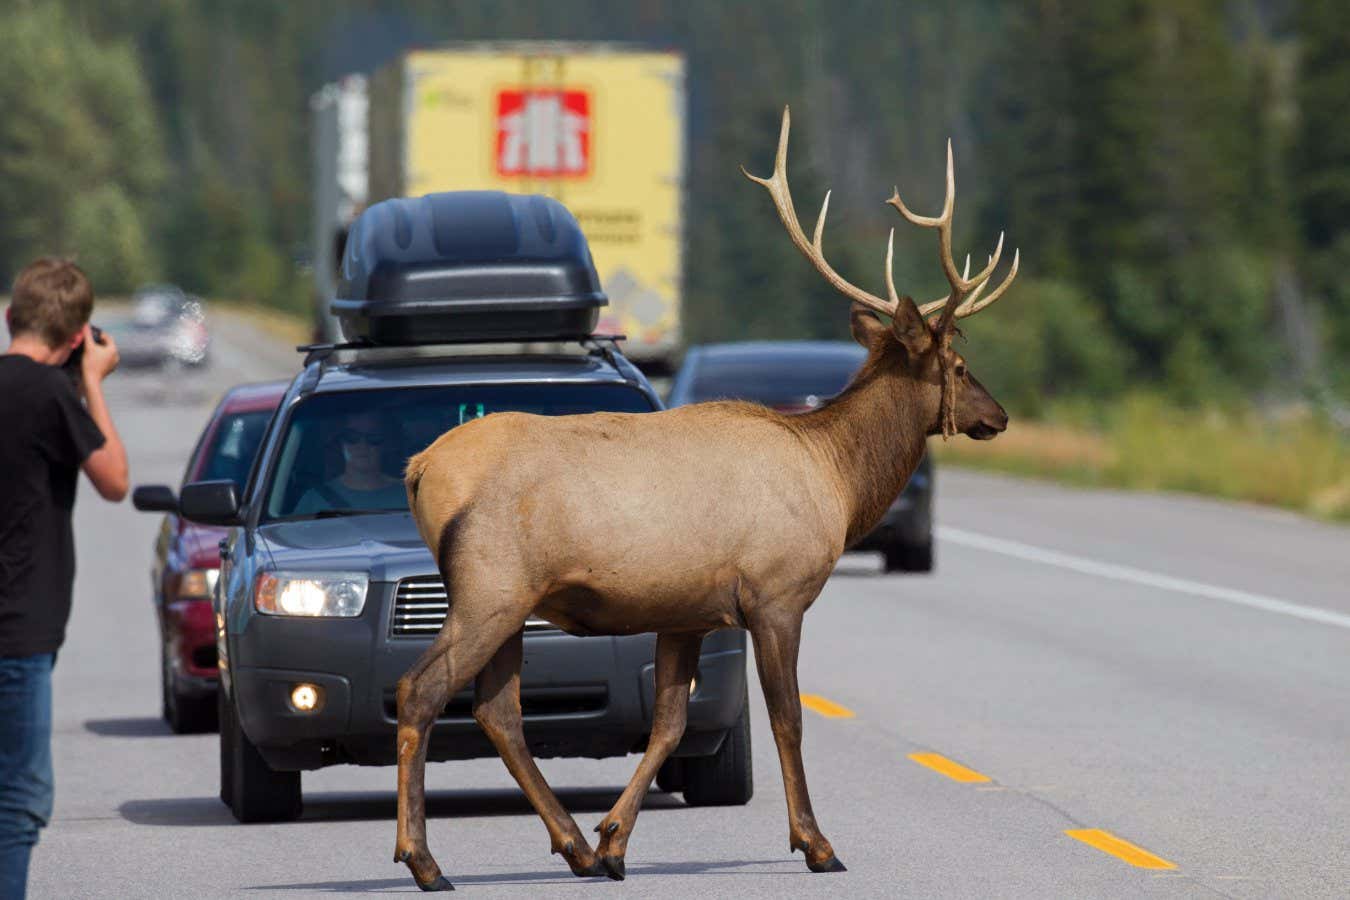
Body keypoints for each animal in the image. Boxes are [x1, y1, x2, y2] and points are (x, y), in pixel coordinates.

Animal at [393, 106, 1019, 891]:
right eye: (959, 365)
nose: (1000, 416)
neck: (838, 480)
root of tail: (420, 469)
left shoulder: (687, 611)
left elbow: (669, 724)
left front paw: (615, 842)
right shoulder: (776, 594)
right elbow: (788, 719)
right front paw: (816, 844)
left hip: (507, 600)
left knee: (497, 711)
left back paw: (573, 846)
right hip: (490, 585)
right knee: (420, 690)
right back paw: (423, 860)